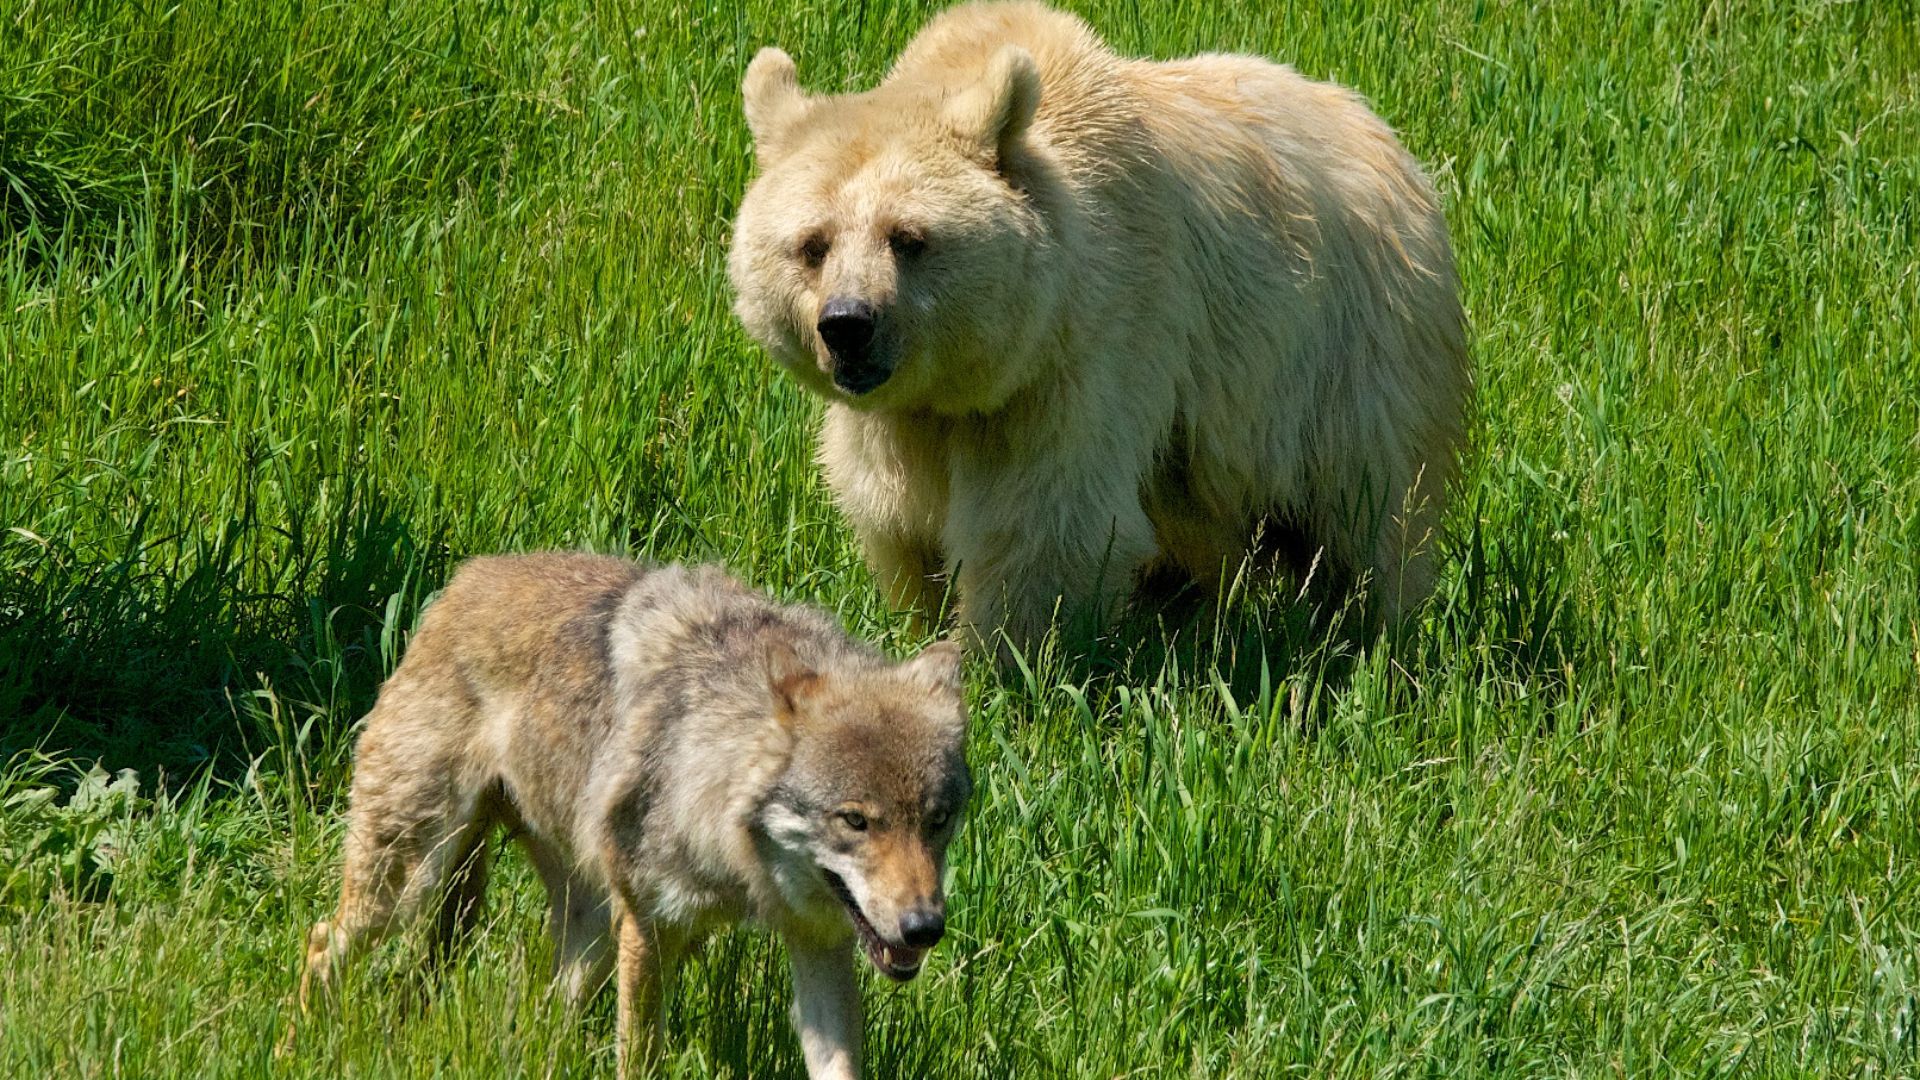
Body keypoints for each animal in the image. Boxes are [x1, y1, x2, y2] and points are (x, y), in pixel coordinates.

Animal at [291, 553, 971, 1079]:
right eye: (855, 821)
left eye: (937, 820)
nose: (923, 928)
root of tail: (461, 583)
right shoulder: (650, 927)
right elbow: (639, 1058)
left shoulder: (820, 945)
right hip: (409, 884)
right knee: (321, 941)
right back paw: (296, 1046)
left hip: (585, 928)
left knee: (547, 1013)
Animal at [728, 1, 1470, 661]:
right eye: (813, 244)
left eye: (908, 238)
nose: (847, 324)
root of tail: (1388, 140)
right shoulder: (906, 416)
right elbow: (895, 510)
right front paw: (927, 619)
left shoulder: (1085, 353)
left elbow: (1043, 521)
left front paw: (1005, 660)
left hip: (1343, 350)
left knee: (1369, 508)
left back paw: (1370, 632)